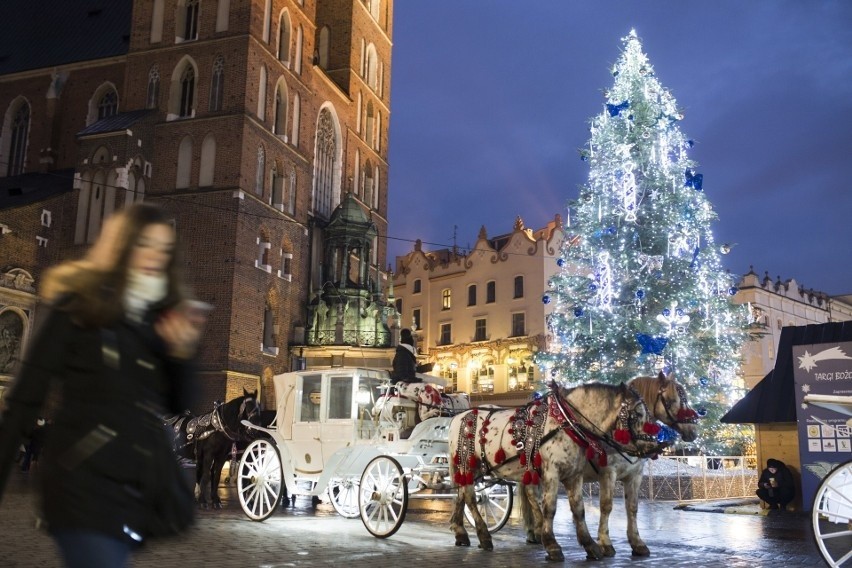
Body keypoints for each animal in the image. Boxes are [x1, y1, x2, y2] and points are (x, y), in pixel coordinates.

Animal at [450, 380, 664, 560]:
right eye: (637, 414)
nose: (654, 448)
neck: (567, 422)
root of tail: (459, 416)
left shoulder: (575, 474)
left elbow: (579, 509)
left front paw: (590, 545)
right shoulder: (554, 472)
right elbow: (551, 508)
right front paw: (552, 545)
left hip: (470, 470)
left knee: (460, 494)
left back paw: (461, 533)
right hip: (467, 464)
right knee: (470, 497)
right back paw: (484, 535)